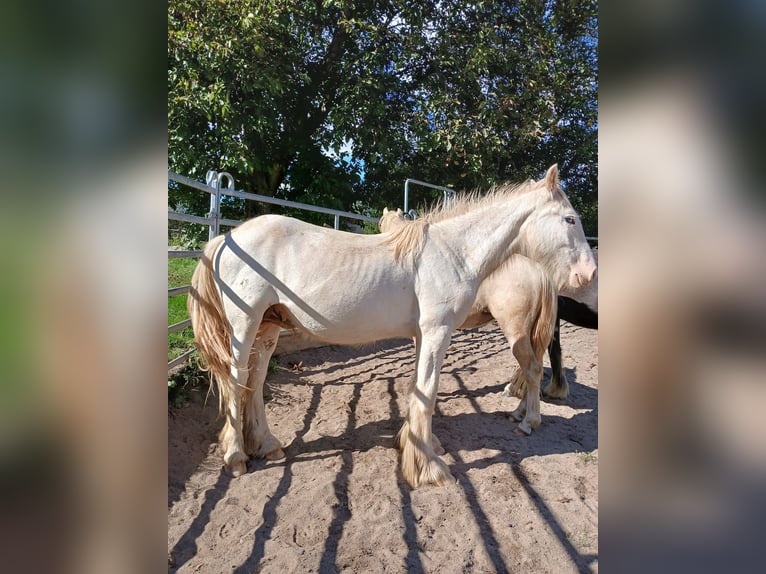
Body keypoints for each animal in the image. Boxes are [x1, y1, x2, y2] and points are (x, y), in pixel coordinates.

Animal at [189, 164, 596, 488]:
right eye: (570, 219)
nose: (588, 275)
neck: (453, 253)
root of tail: (225, 239)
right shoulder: (436, 333)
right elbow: (427, 393)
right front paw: (428, 469)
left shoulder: (423, 336)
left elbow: (419, 391)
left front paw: (422, 447)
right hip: (244, 327)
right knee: (235, 381)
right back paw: (235, 457)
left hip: (268, 328)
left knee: (255, 382)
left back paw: (266, 445)